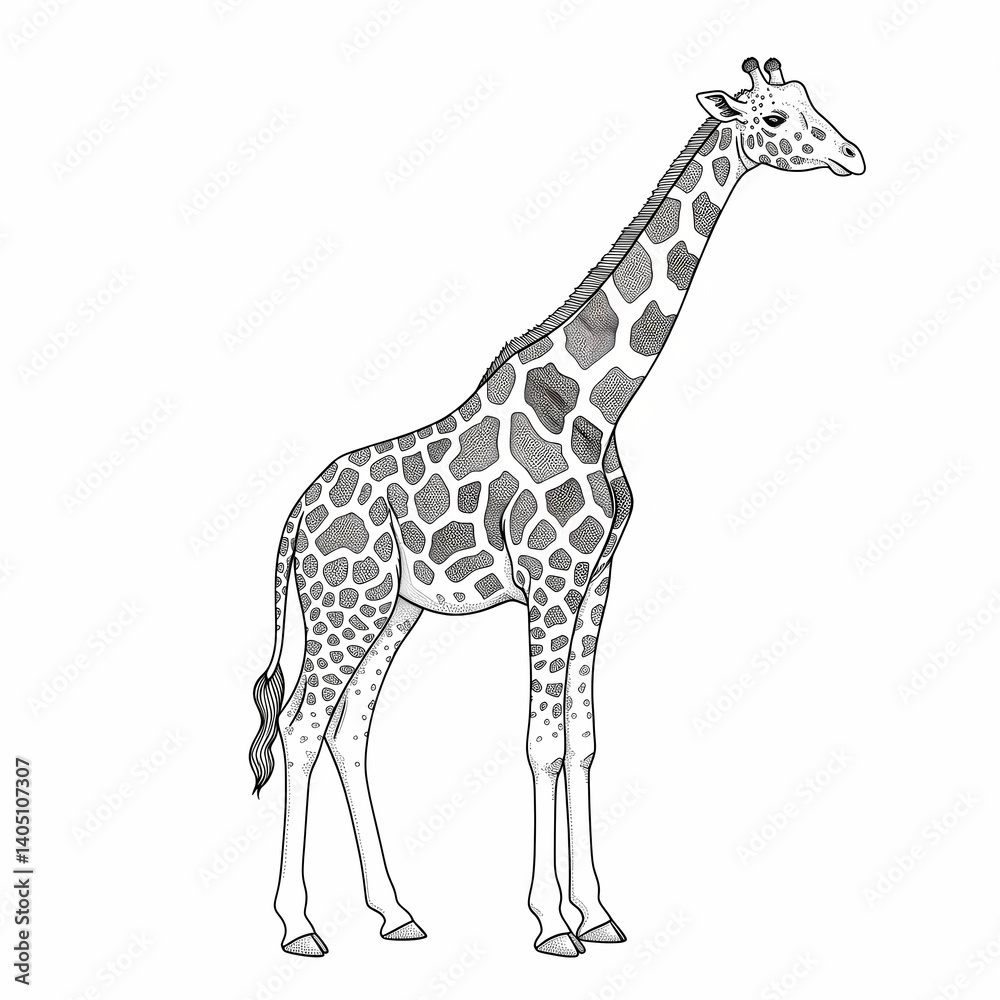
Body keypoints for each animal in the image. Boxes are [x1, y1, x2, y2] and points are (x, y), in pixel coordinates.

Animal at [248, 57, 865, 958]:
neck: (597, 403)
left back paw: (396, 913)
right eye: (778, 118)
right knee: (300, 727)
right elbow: (542, 743)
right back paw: (298, 926)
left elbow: (583, 741)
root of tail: (295, 516)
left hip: (394, 608)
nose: (853, 156)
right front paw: (550, 923)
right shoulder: (549, 581)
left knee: (348, 727)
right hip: (343, 606)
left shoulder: (596, 582)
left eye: (813, 103)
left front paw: (598, 913)